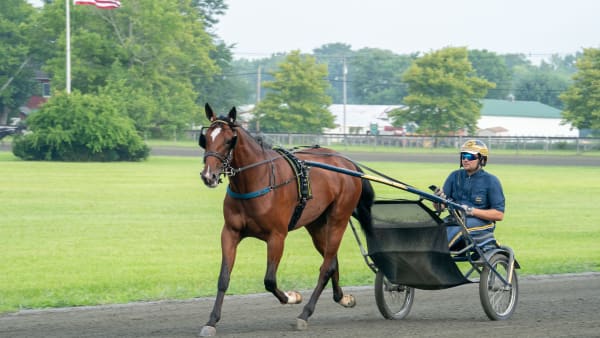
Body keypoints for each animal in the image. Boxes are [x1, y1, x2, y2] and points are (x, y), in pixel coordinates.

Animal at [198, 104, 376, 336]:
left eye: (229, 140)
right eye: (206, 138)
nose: (208, 175)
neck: (257, 180)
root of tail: (348, 163)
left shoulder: (277, 236)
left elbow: (269, 280)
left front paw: (293, 296)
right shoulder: (230, 232)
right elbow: (223, 278)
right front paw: (211, 321)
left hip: (339, 218)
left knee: (326, 267)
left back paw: (305, 314)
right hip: (317, 224)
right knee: (332, 261)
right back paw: (342, 298)